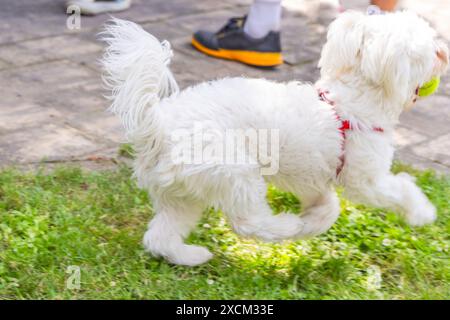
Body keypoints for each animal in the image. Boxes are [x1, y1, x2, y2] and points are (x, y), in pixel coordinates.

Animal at [100, 11, 448, 266]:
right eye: (428, 51)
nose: (443, 53)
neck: (349, 102)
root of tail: (157, 127)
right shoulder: (365, 181)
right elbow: (400, 191)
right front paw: (422, 213)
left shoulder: (311, 179)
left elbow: (329, 208)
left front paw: (312, 223)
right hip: (235, 171)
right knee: (247, 222)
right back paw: (286, 225)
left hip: (183, 194)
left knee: (160, 237)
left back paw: (191, 256)